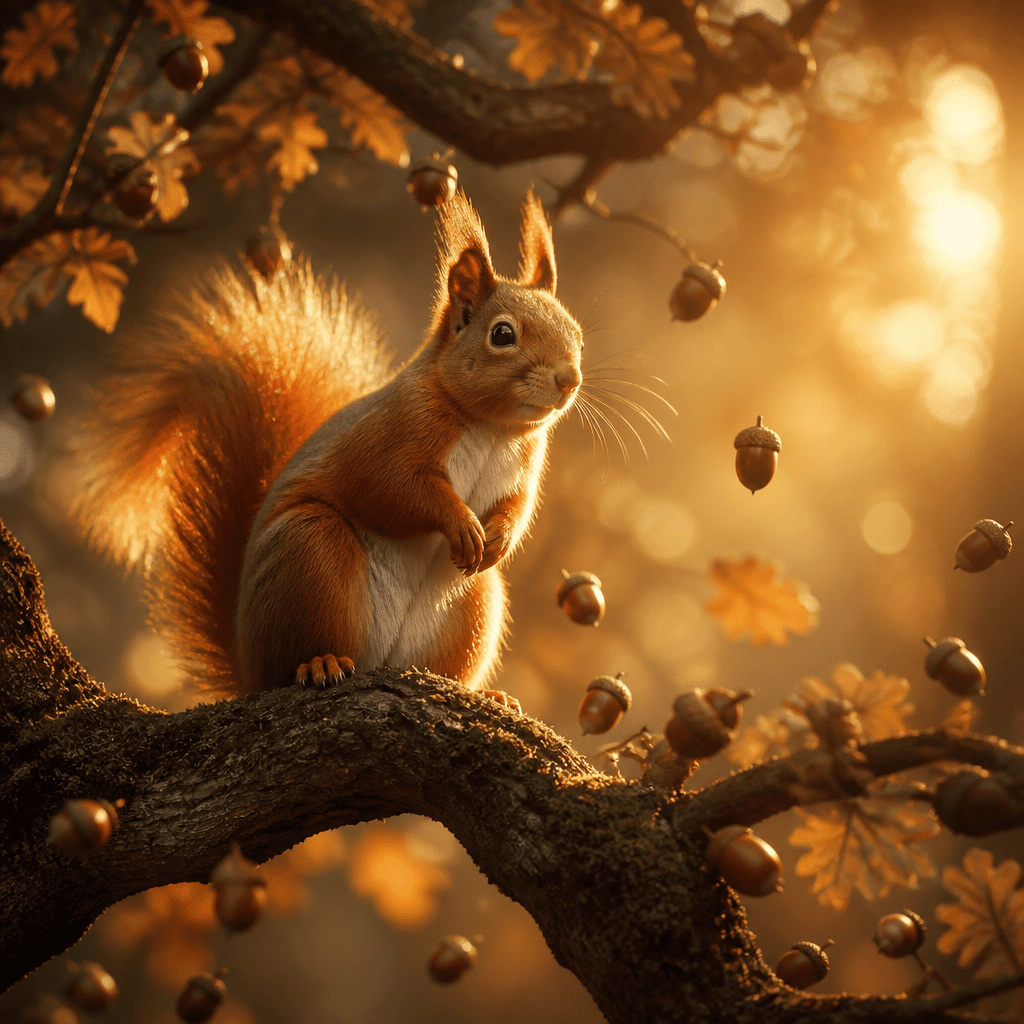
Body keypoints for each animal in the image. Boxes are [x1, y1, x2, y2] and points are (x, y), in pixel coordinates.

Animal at [75, 191, 583, 700]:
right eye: (502, 334)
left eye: (576, 333)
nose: (570, 379)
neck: (491, 428)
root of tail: (246, 670)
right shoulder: (392, 434)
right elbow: (393, 489)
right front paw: (460, 523)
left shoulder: (522, 469)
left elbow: (516, 507)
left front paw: (500, 537)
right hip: (310, 550)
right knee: (298, 653)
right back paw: (320, 663)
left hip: (474, 604)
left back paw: (480, 692)